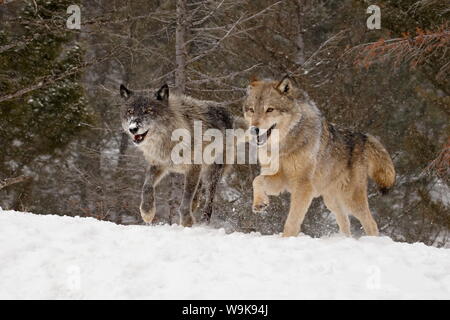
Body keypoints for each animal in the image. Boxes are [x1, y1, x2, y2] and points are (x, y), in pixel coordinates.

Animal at [244, 77, 396, 238]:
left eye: (270, 109)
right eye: (251, 110)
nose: (254, 129)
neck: (283, 145)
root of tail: (364, 136)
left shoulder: (303, 186)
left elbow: (293, 220)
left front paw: (287, 238)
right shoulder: (279, 179)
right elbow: (257, 180)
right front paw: (259, 203)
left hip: (350, 199)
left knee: (371, 223)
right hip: (331, 201)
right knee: (345, 221)